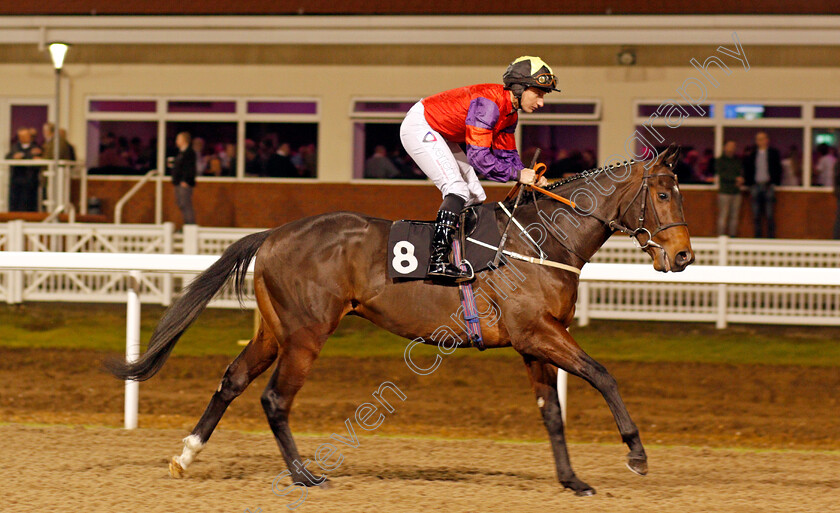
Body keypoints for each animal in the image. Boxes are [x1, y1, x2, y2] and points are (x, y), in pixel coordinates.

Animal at [106, 143, 696, 492]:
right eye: (665, 193)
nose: (684, 256)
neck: (542, 240)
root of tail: (272, 234)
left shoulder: (534, 342)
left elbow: (552, 412)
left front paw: (572, 480)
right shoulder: (540, 332)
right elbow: (603, 375)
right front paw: (636, 454)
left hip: (274, 331)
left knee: (232, 381)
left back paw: (186, 455)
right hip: (306, 335)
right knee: (274, 399)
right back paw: (304, 475)